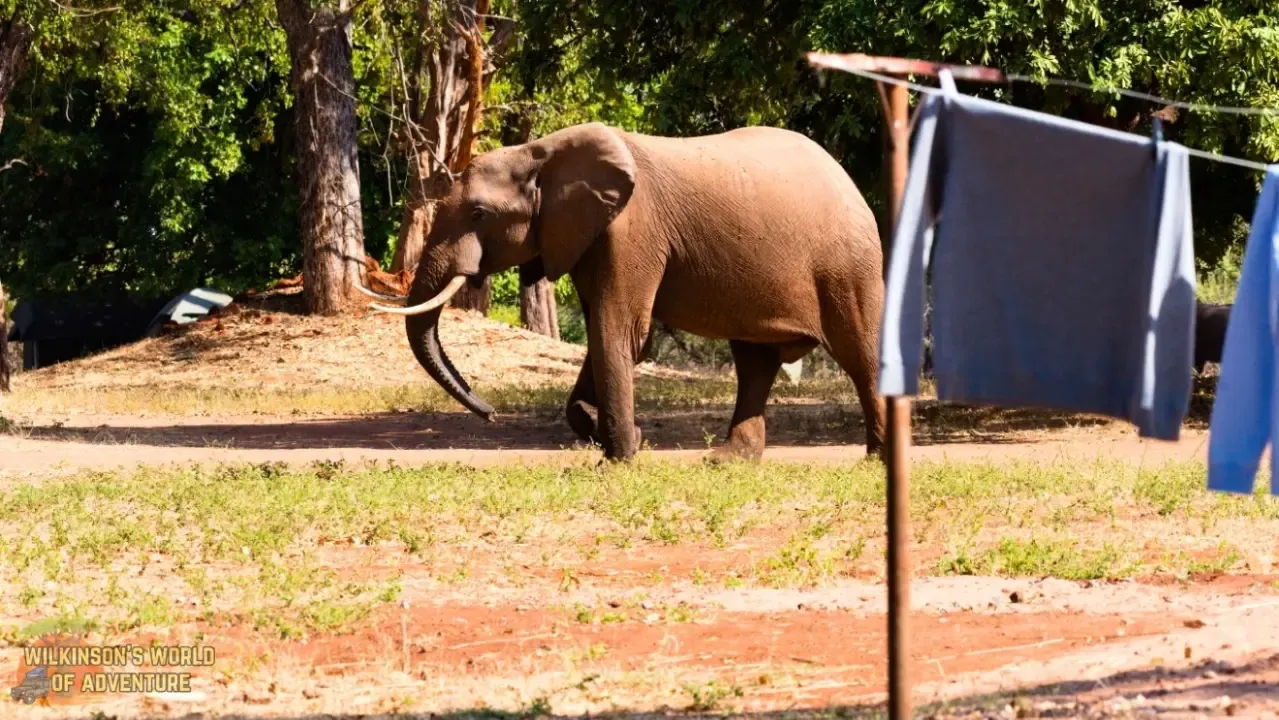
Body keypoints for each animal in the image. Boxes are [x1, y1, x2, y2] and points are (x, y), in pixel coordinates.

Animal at [365, 122, 890, 465]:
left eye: (478, 214)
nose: (491, 415)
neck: (541, 152)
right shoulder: (584, 235)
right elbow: (605, 333)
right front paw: (614, 432)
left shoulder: (632, 229)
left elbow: (618, 330)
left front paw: (618, 458)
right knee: (754, 362)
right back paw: (727, 460)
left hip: (848, 264)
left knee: (859, 353)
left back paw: (876, 460)